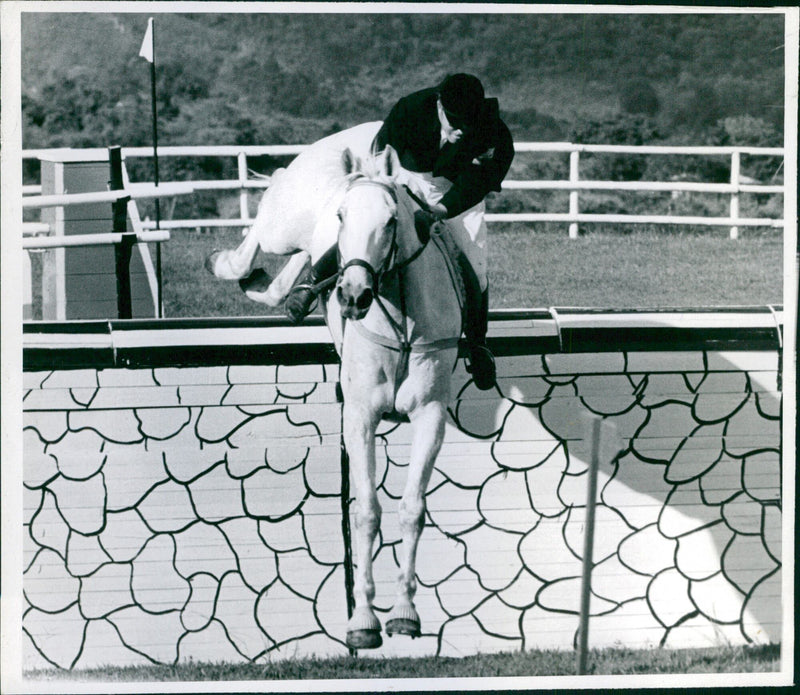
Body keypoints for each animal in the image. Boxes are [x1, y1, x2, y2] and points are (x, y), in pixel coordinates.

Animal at [206, 132, 462, 652]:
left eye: (391, 220)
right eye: (344, 217)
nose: (353, 296)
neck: (400, 319)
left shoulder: (429, 416)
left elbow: (412, 509)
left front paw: (404, 614)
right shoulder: (360, 418)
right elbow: (365, 512)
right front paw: (362, 619)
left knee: (289, 272)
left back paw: (273, 285)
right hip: (287, 221)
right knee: (266, 227)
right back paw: (231, 263)